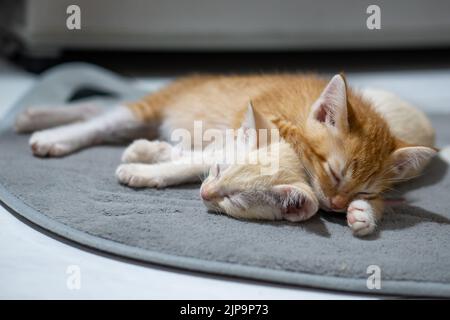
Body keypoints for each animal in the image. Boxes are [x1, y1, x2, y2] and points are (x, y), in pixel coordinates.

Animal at [16, 74, 436, 236]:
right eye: (333, 173)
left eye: (362, 190)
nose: (336, 203)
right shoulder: (240, 139)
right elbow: (194, 162)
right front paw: (144, 168)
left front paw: (364, 214)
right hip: (150, 108)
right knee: (103, 116)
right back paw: (50, 134)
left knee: (98, 109)